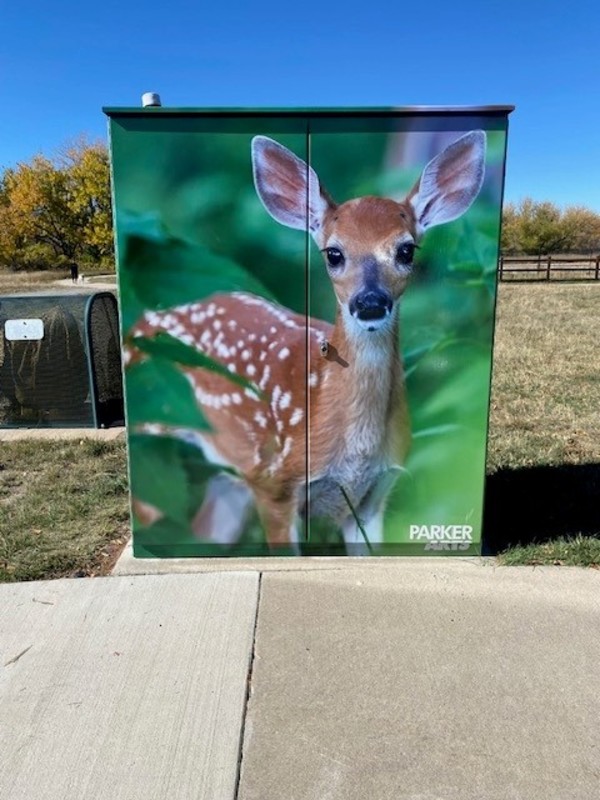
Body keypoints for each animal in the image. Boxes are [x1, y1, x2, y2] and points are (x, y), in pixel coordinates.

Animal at [127, 130, 486, 550]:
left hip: (231, 478)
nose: (369, 303)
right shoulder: (275, 483)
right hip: (151, 440)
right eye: (333, 253)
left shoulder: (375, 495)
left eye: (406, 250)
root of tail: (139, 321)